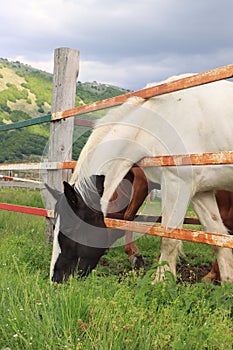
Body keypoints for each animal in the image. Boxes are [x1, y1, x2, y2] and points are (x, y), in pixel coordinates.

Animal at [50, 75, 233, 284]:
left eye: (70, 228)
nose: (56, 278)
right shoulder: (201, 193)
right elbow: (218, 237)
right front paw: (226, 284)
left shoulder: (176, 184)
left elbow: (168, 238)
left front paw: (161, 282)